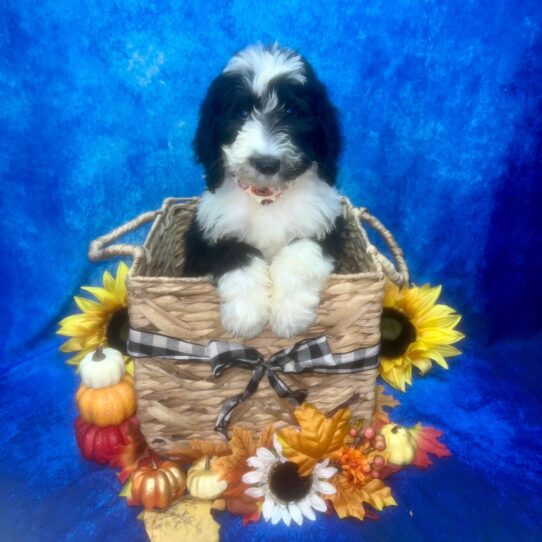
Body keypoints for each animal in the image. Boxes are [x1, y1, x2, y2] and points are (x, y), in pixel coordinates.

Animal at [183, 43, 344, 340]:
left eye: (290, 111)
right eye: (242, 114)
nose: (267, 163)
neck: (266, 196)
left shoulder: (324, 225)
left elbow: (298, 255)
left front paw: (290, 316)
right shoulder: (210, 233)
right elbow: (239, 258)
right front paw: (246, 317)